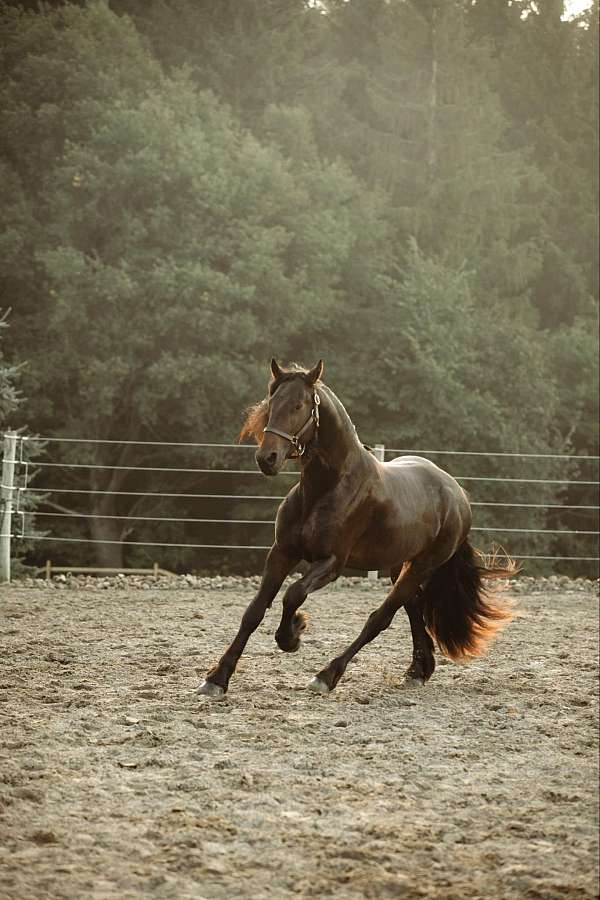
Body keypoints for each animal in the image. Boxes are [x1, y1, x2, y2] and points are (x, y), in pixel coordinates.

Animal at [198, 362, 516, 700]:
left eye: (299, 405)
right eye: (272, 404)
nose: (266, 458)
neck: (326, 487)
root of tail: (457, 495)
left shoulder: (332, 562)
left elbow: (293, 594)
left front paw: (293, 634)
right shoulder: (282, 553)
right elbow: (254, 611)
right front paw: (217, 678)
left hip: (422, 566)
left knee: (380, 619)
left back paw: (327, 675)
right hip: (399, 566)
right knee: (413, 607)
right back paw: (418, 671)